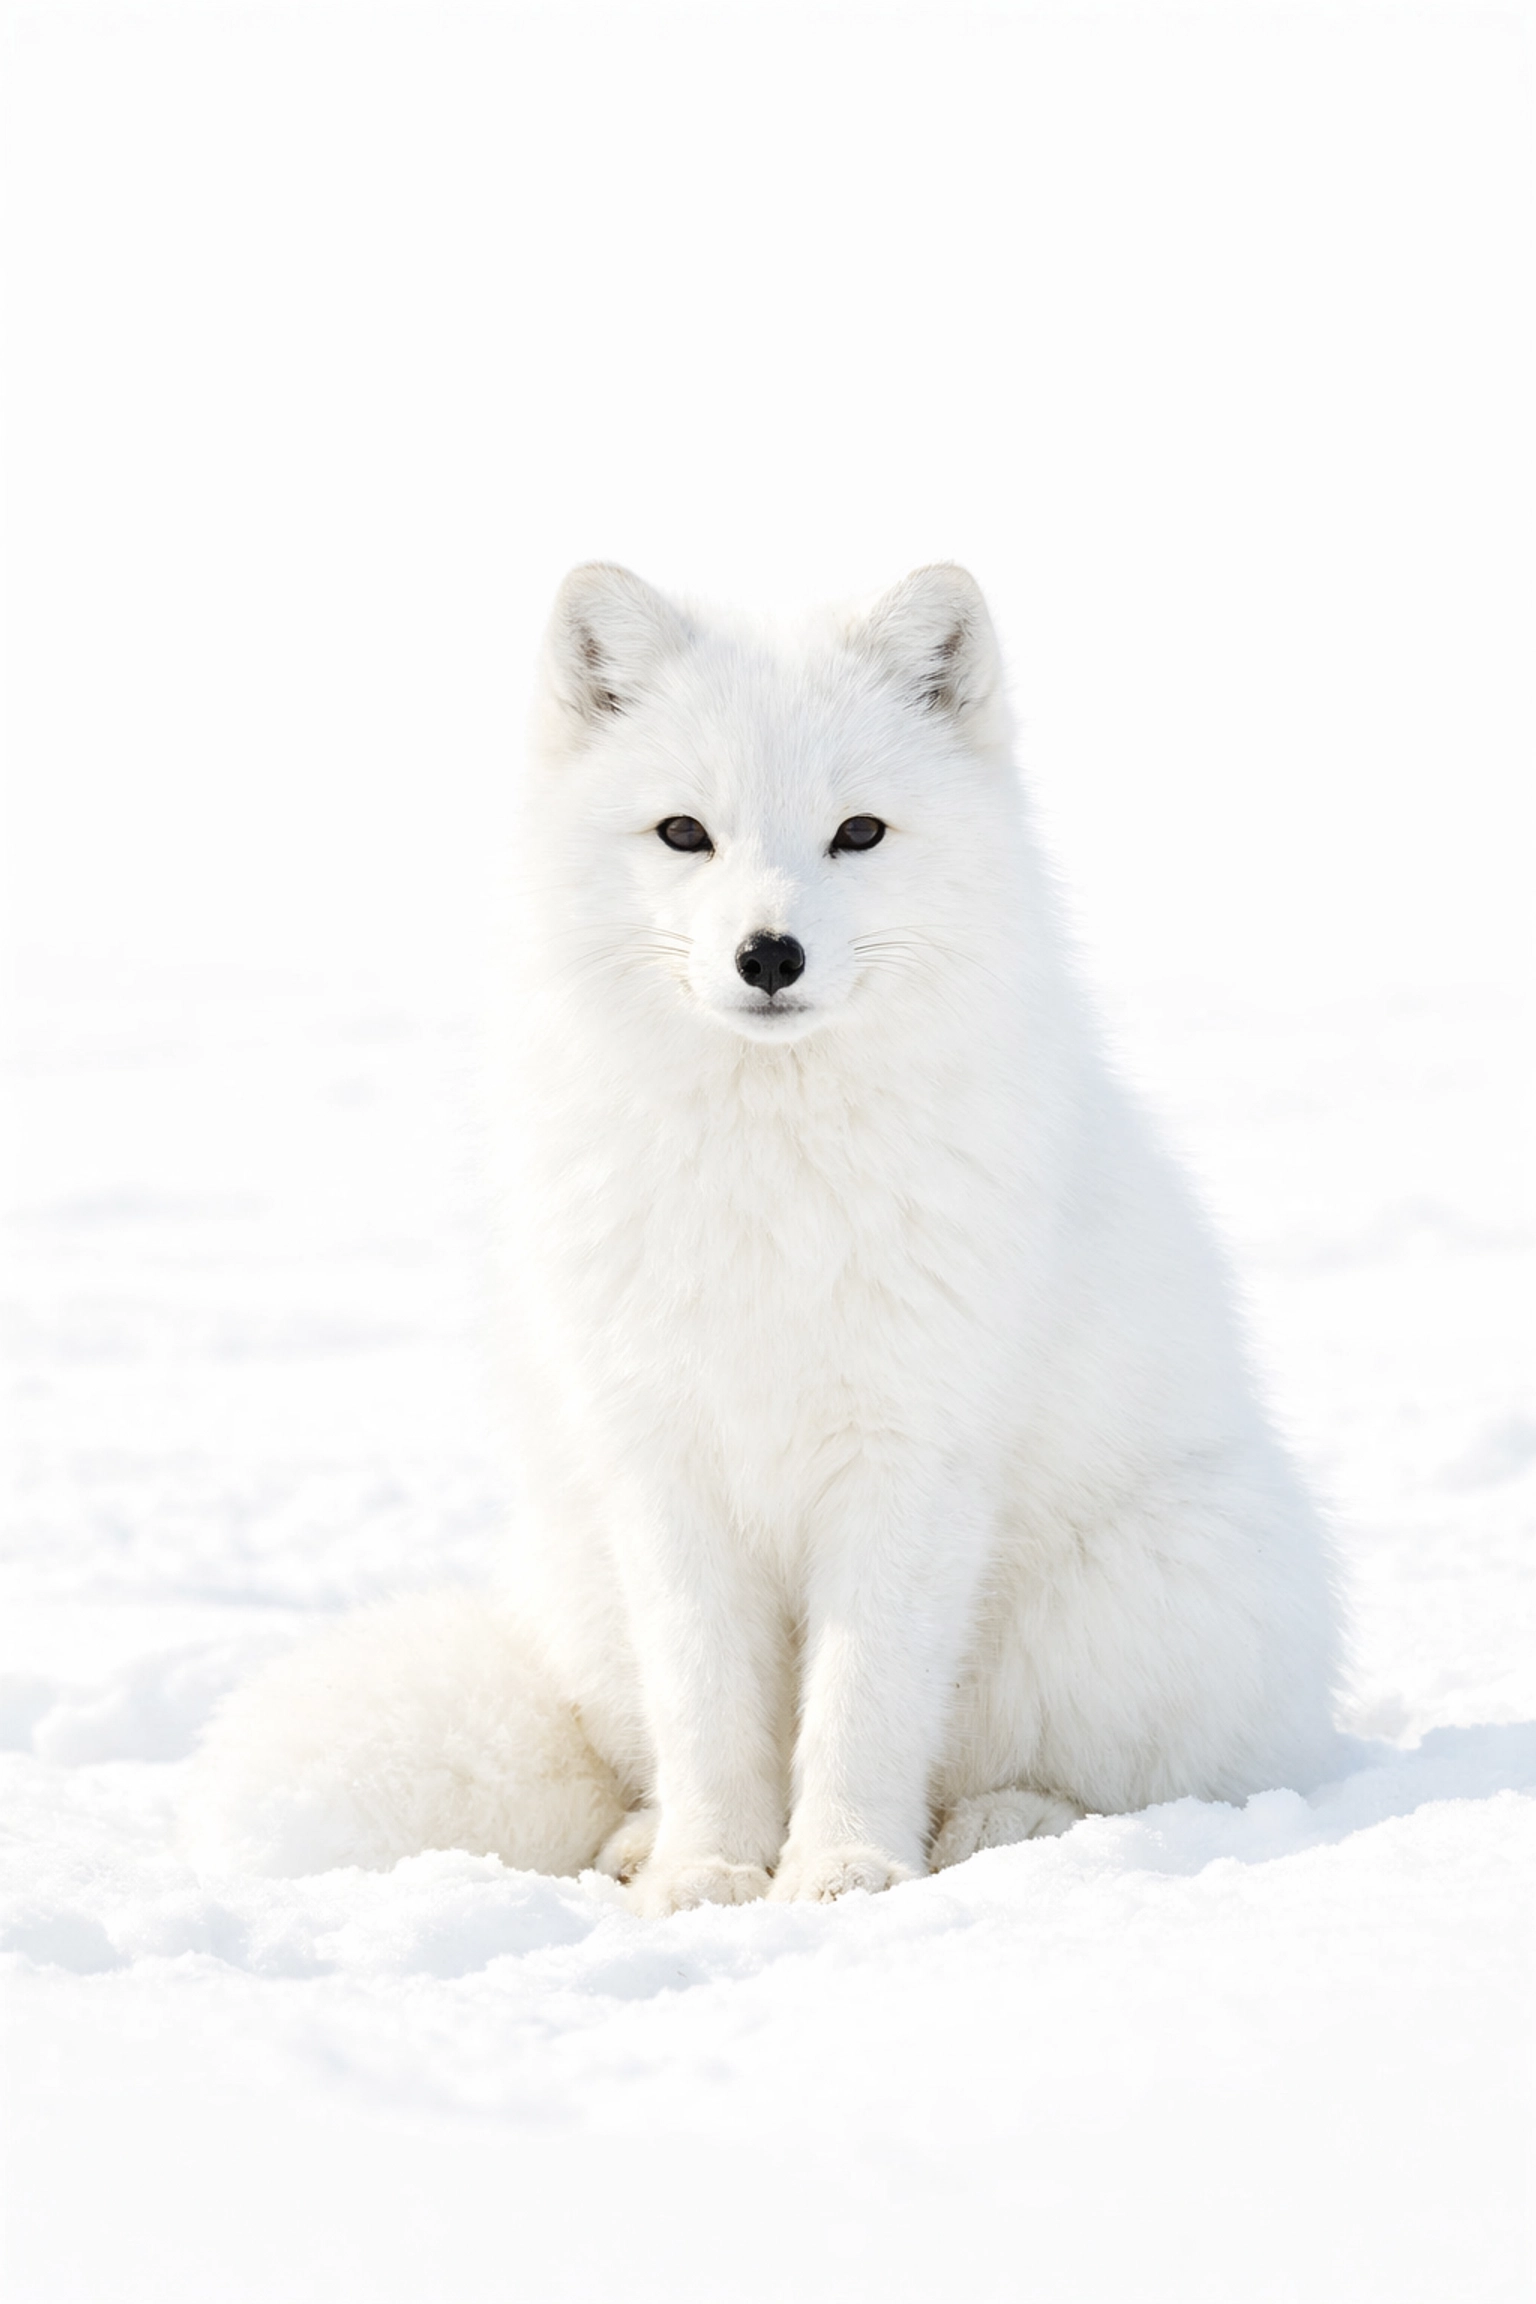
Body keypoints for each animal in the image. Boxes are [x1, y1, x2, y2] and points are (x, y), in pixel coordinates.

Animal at [185, 564, 1341, 1909]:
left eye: (861, 833)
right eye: (685, 833)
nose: (770, 954)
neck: (767, 1186)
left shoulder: (907, 1456)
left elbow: (863, 1705)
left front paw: (842, 1869)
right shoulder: (664, 1466)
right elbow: (707, 1712)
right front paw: (710, 1871)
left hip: (1134, 1600)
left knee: (1102, 1777)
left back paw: (1004, 1826)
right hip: (584, 1577)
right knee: (636, 1755)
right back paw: (644, 1844)